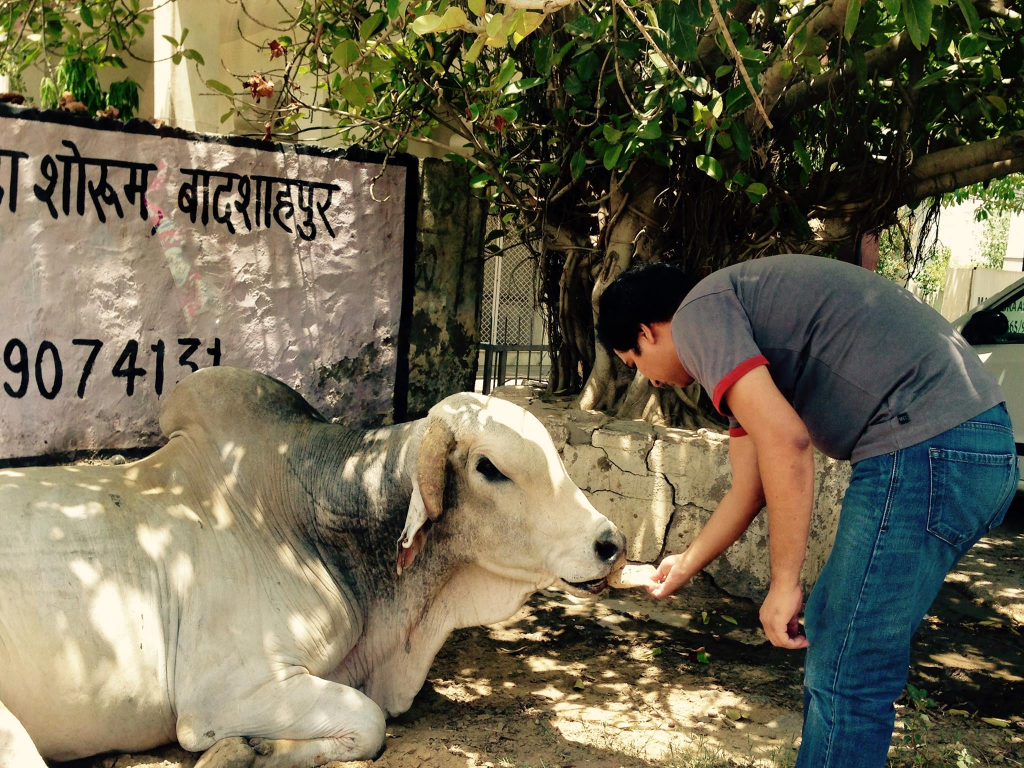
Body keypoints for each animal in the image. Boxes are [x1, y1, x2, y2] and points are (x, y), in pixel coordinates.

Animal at [0, 368, 622, 768]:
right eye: (490, 468)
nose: (610, 544)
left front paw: (253, 750)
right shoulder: (224, 692)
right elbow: (369, 722)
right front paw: (239, 752)